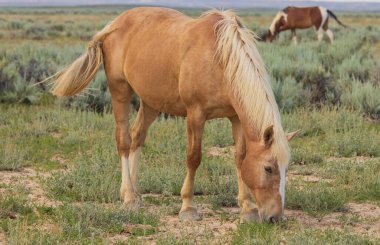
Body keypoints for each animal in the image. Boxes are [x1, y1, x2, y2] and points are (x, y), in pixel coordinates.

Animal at [46, 7, 300, 222]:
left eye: (286, 168)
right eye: (268, 168)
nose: (276, 217)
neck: (220, 59)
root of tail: (113, 25)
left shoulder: (236, 117)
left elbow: (240, 158)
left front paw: (247, 208)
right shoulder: (195, 115)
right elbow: (194, 157)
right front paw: (188, 207)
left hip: (151, 102)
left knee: (137, 137)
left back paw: (135, 193)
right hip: (120, 91)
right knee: (123, 140)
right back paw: (128, 196)